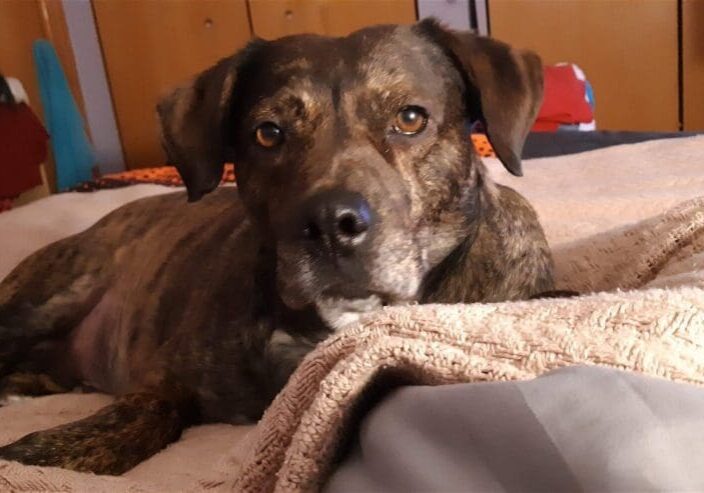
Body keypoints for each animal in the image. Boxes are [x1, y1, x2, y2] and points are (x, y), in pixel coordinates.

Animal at [0, 19, 552, 472]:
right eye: (268, 133)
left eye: (411, 118)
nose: (330, 222)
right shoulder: (167, 369)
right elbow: (150, 406)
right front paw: (54, 450)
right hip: (52, 295)